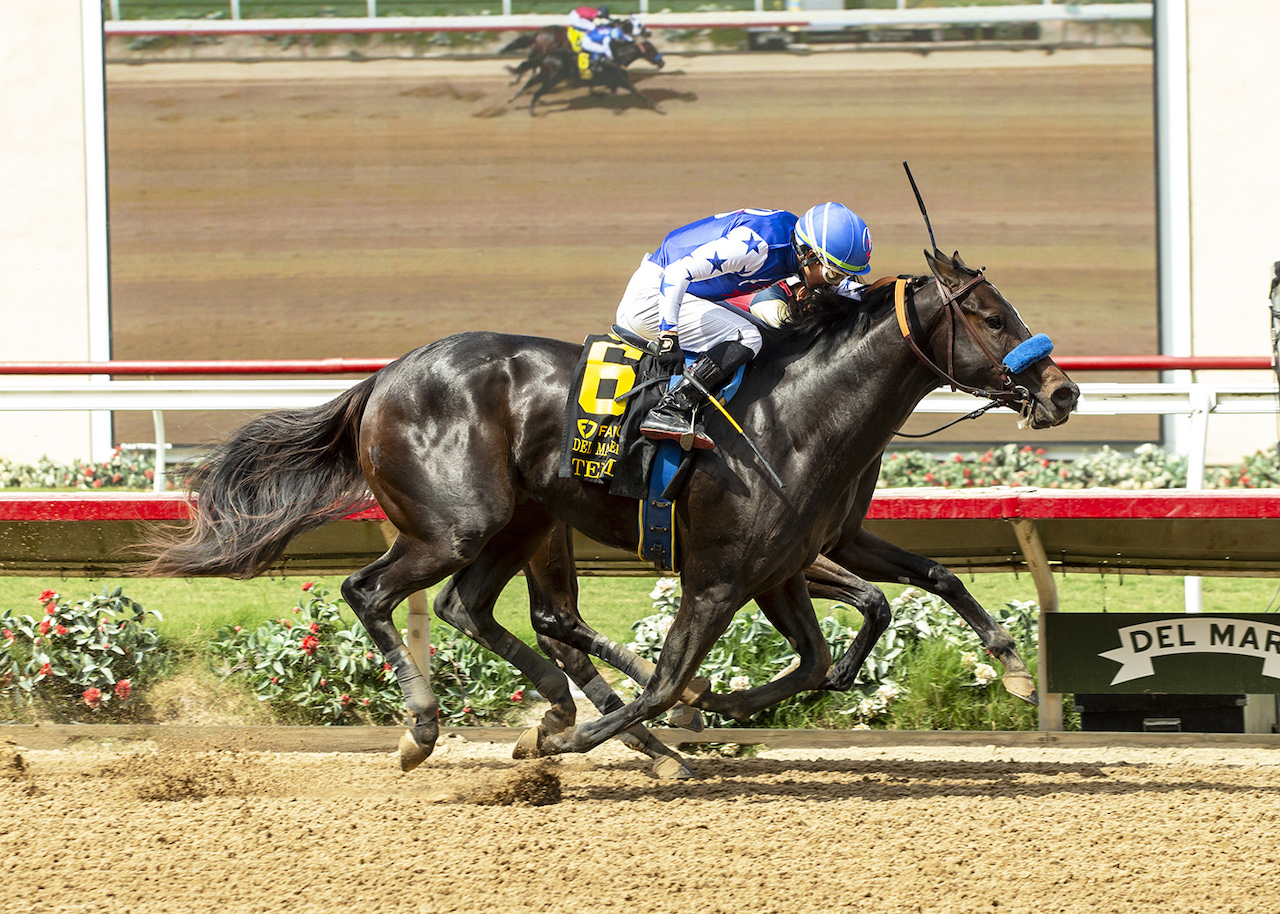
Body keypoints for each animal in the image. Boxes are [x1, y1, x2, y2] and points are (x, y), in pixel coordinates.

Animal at [140, 247, 1080, 768]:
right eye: (992, 315)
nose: (1063, 391)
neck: (798, 411)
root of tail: (383, 378)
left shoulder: (791, 559)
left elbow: (896, 601)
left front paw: (1010, 662)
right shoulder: (722, 574)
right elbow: (667, 681)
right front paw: (581, 742)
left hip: (520, 523)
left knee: (475, 607)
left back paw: (561, 706)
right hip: (459, 523)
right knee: (376, 593)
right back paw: (429, 726)